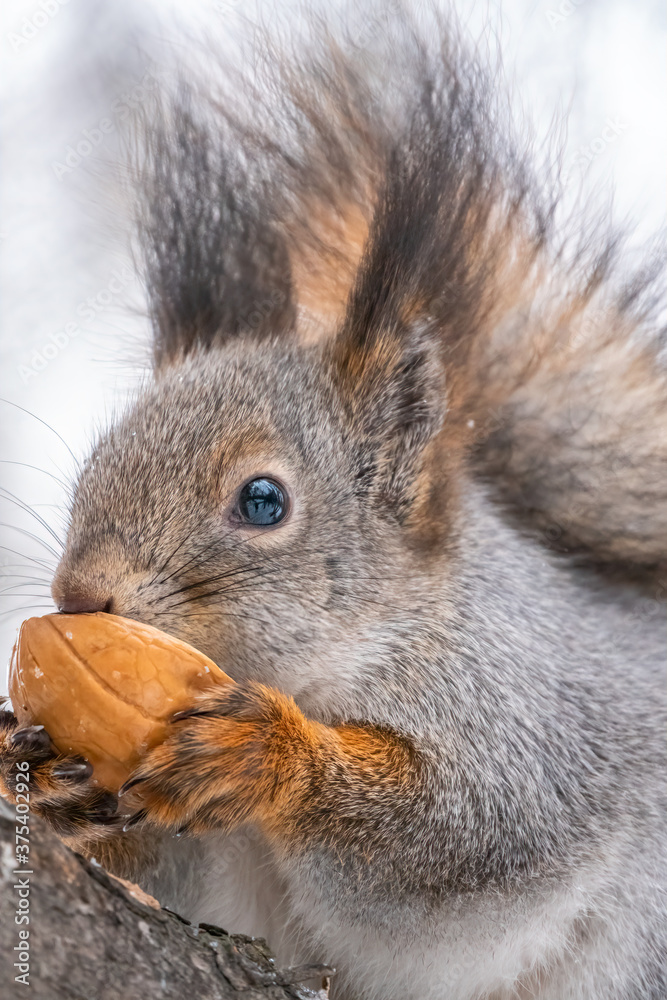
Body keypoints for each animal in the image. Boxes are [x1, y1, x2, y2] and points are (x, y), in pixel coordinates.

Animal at [1, 9, 665, 999]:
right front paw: (50, 774)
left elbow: (462, 837)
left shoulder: (534, 725)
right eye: (95, 463)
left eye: (262, 501)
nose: (80, 593)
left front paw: (266, 758)